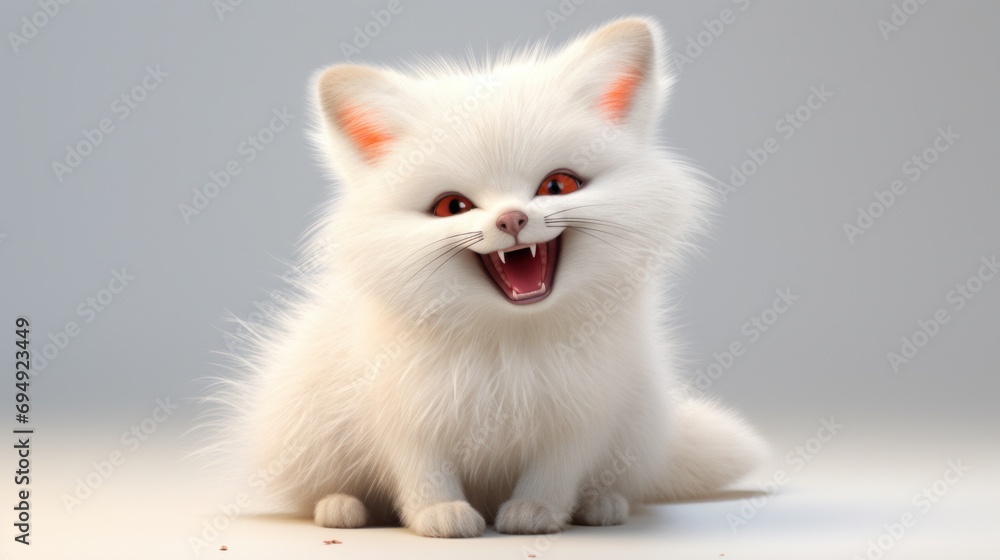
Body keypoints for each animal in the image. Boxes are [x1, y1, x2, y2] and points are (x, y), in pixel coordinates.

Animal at [221, 15, 764, 536]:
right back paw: (342, 507)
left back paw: (600, 505)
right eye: (453, 207)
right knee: (323, 489)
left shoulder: (580, 415)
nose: (511, 219)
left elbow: (554, 471)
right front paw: (441, 517)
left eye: (557, 185)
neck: (507, 340)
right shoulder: (406, 416)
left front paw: (535, 513)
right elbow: (424, 472)